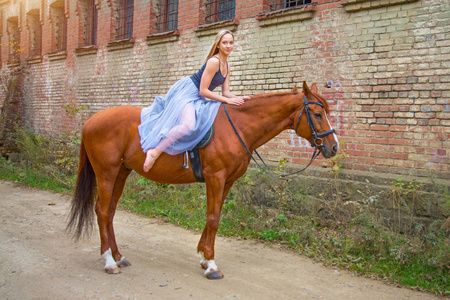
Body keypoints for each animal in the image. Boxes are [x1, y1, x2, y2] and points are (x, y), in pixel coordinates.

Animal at [67, 81, 338, 278]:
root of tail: (90, 121)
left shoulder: (226, 181)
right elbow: (213, 218)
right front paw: (212, 265)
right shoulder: (215, 177)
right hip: (106, 173)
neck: (238, 126)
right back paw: (109, 261)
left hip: (121, 172)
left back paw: (118, 256)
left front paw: (204, 258)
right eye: (316, 113)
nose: (333, 147)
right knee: (102, 210)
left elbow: (213, 217)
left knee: (110, 211)